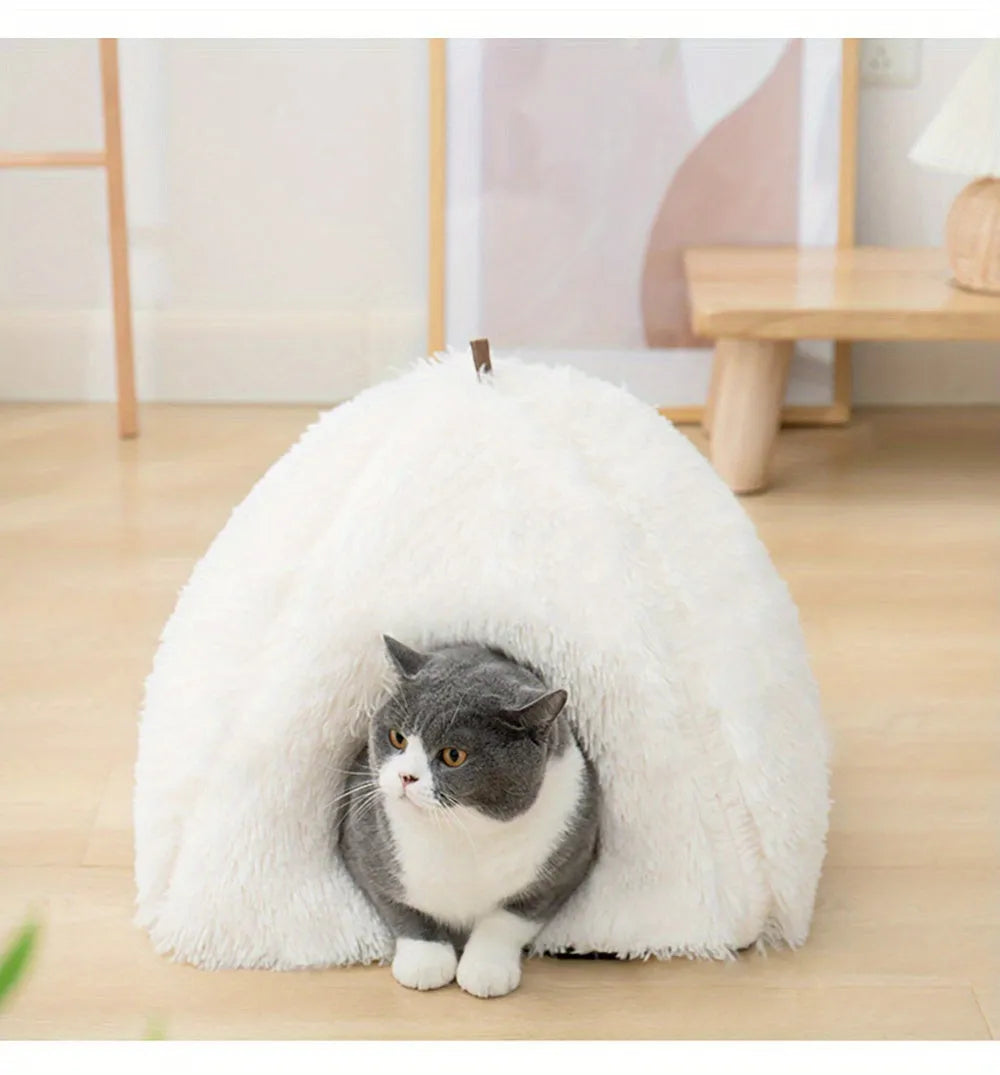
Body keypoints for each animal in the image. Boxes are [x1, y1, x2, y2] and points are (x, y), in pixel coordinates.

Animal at [335, 632, 602, 993]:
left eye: (453, 755)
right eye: (397, 738)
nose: (406, 777)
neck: (463, 832)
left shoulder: (567, 860)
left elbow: (508, 919)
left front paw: (486, 970)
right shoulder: (363, 846)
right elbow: (402, 907)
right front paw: (426, 962)